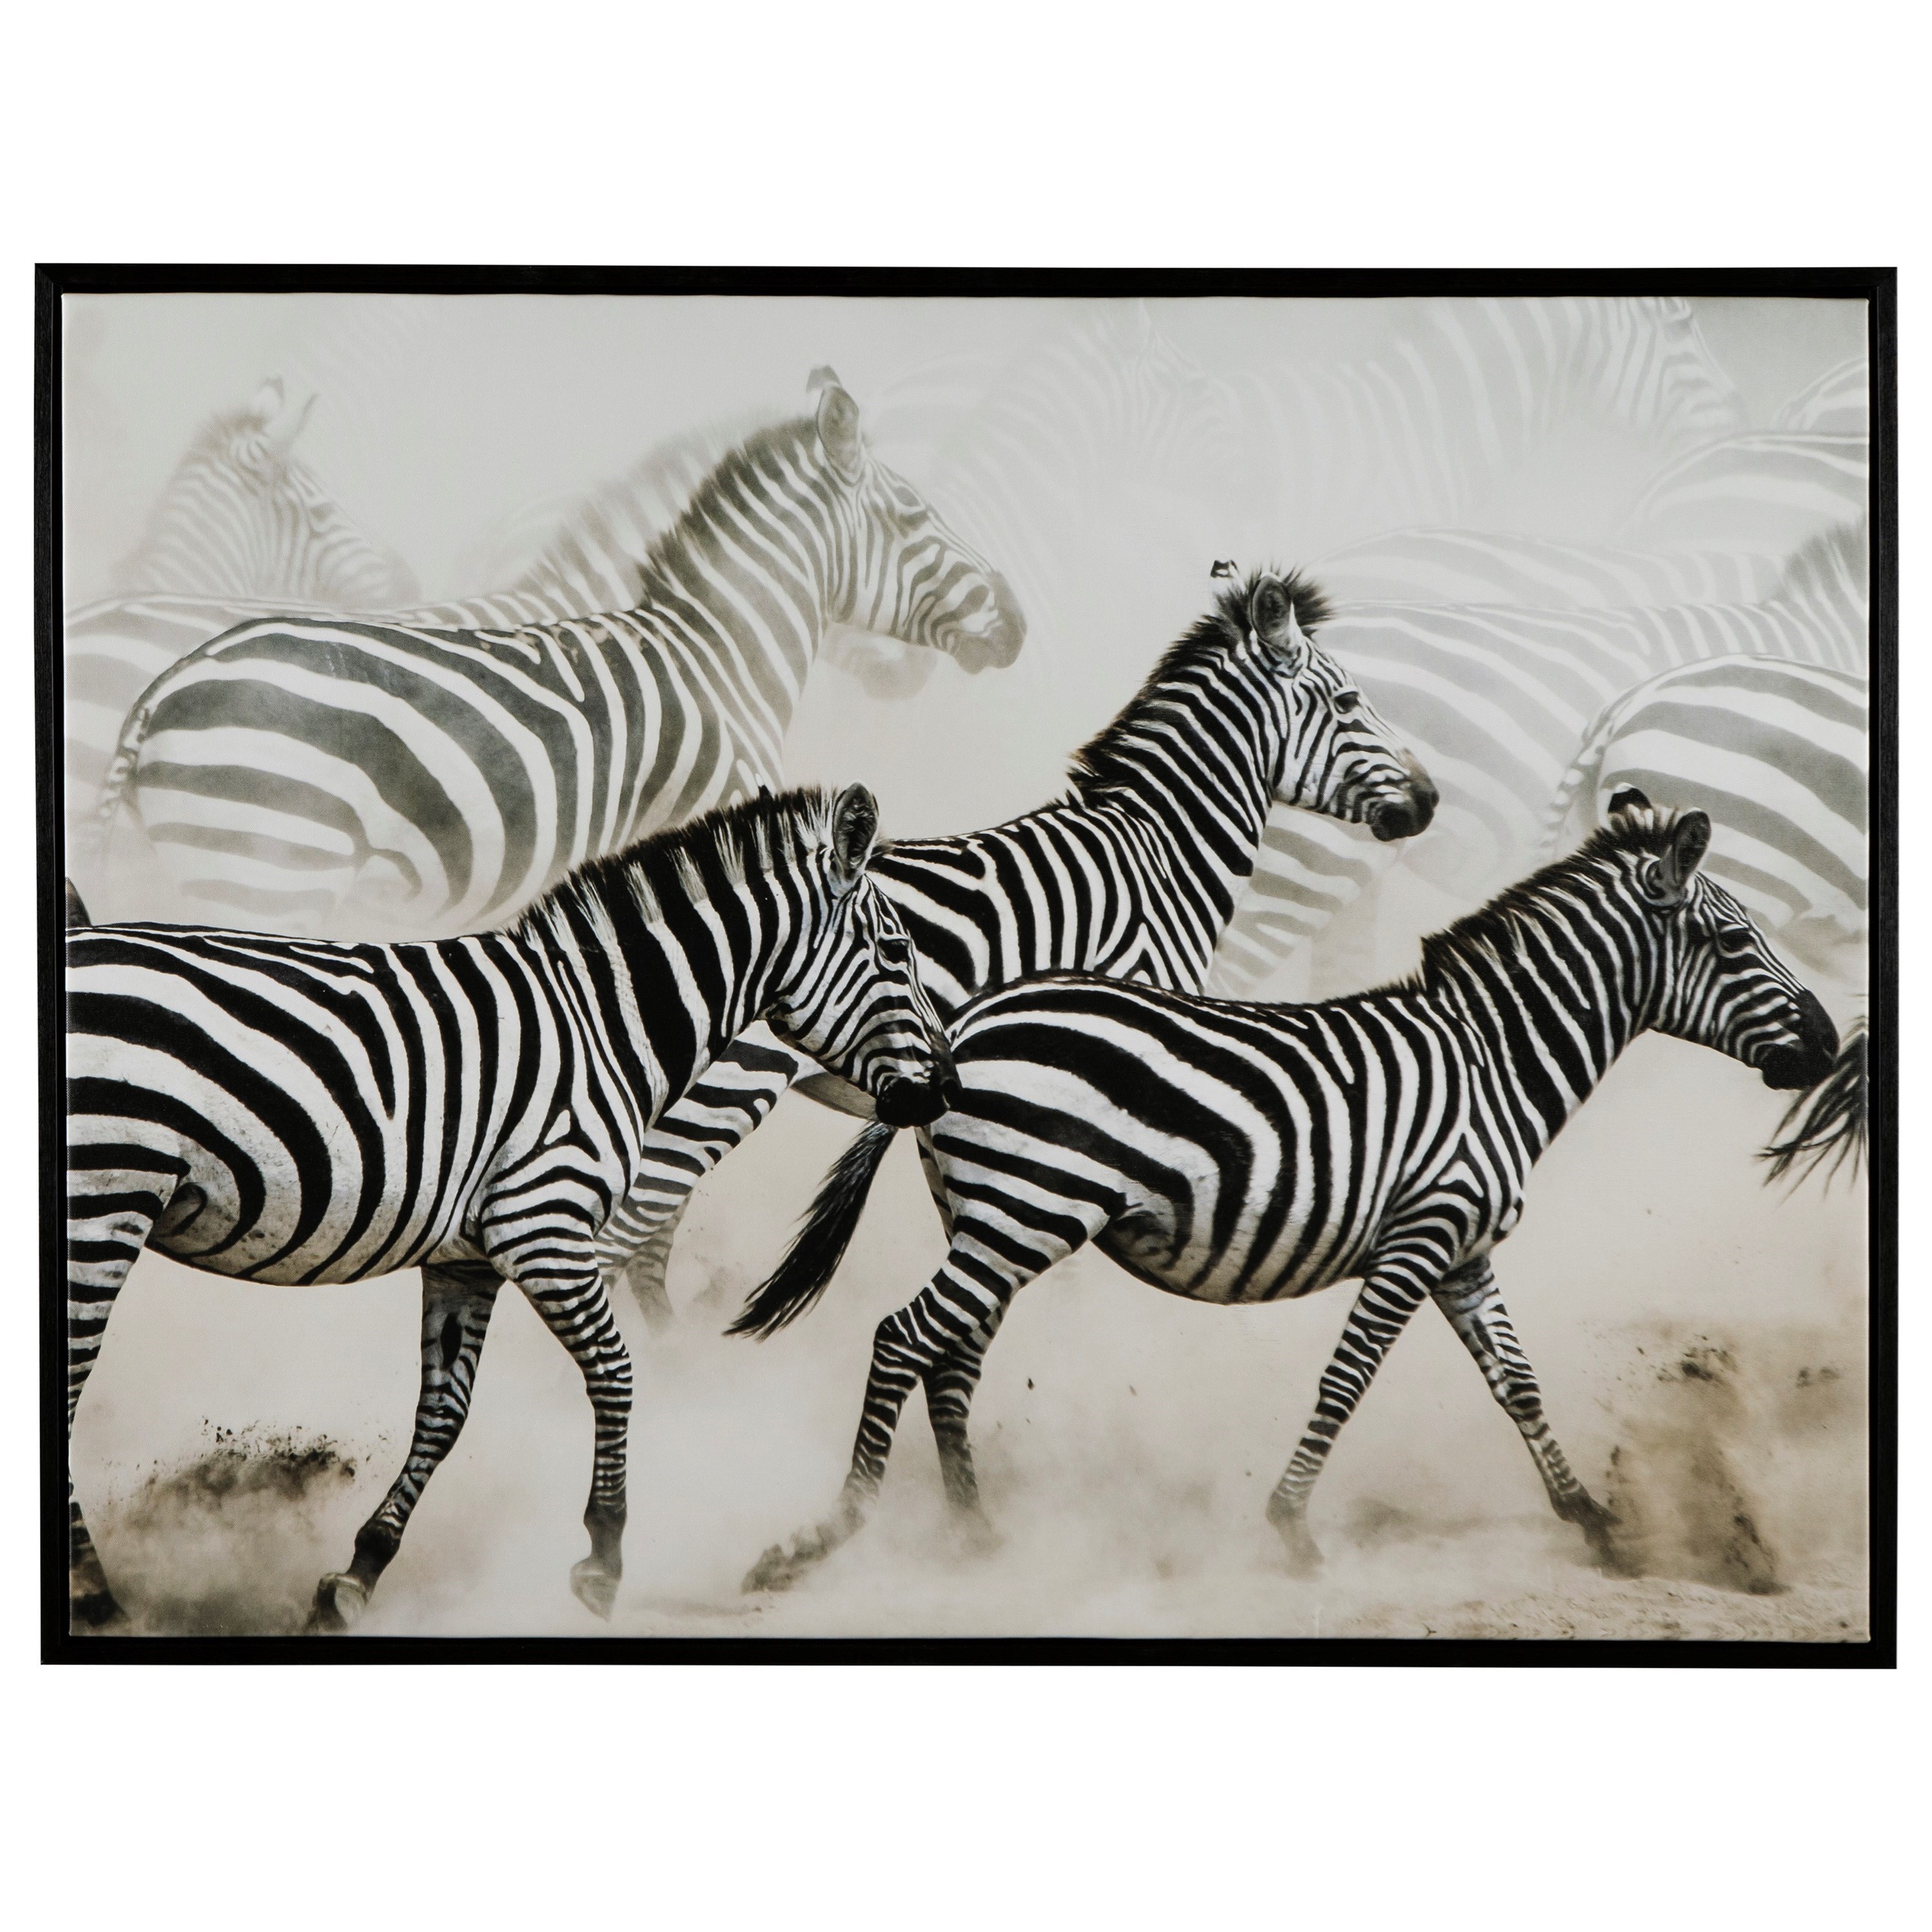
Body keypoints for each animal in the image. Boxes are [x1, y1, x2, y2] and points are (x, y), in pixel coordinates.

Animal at [64, 784, 954, 1633]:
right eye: (899, 950)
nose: (948, 1088)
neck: (604, 1024)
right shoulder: (543, 1224)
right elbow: (617, 1371)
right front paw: (604, 1559)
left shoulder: (468, 1259)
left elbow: (444, 1414)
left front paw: (359, 1575)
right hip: (104, 1198)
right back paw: (98, 1595)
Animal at [730, 793, 1838, 1594]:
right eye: (1736, 943)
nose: (1831, 1043)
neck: (1492, 1061)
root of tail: (959, 1030)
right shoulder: (1418, 1236)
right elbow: (1345, 1381)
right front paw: (1292, 1529)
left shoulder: (1465, 1249)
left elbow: (1517, 1383)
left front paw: (1600, 1526)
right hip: (1023, 1211)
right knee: (904, 1339)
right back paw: (826, 1538)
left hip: (995, 1216)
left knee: (952, 1359)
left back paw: (975, 1535)